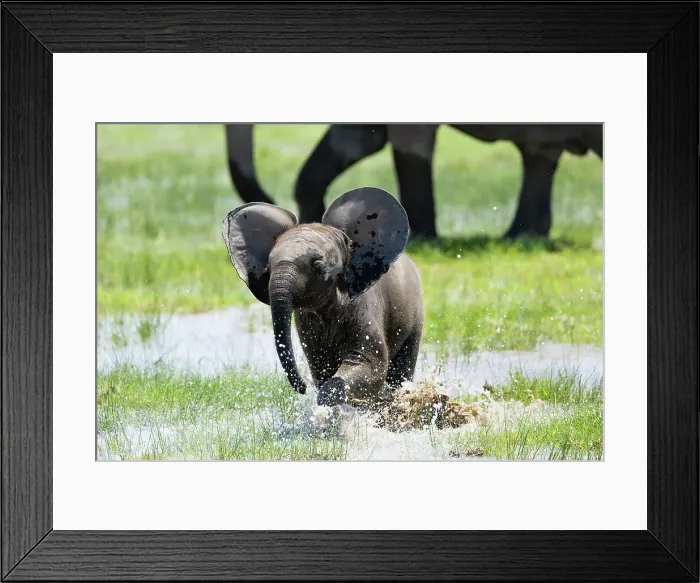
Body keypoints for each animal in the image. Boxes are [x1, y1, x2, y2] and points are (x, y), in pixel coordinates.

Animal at [221, 186, 424, 408]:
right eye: (269, 267)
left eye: (317, 266)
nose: (302, 388)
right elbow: (322, 370)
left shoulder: (363, 305)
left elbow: (371, 364)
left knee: (401, 370)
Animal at [224, 123, 603, 240]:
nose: (266, 200)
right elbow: (354, 140)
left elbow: (409, 145)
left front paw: (421, 238)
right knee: (540, 154)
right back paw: (522, 236)